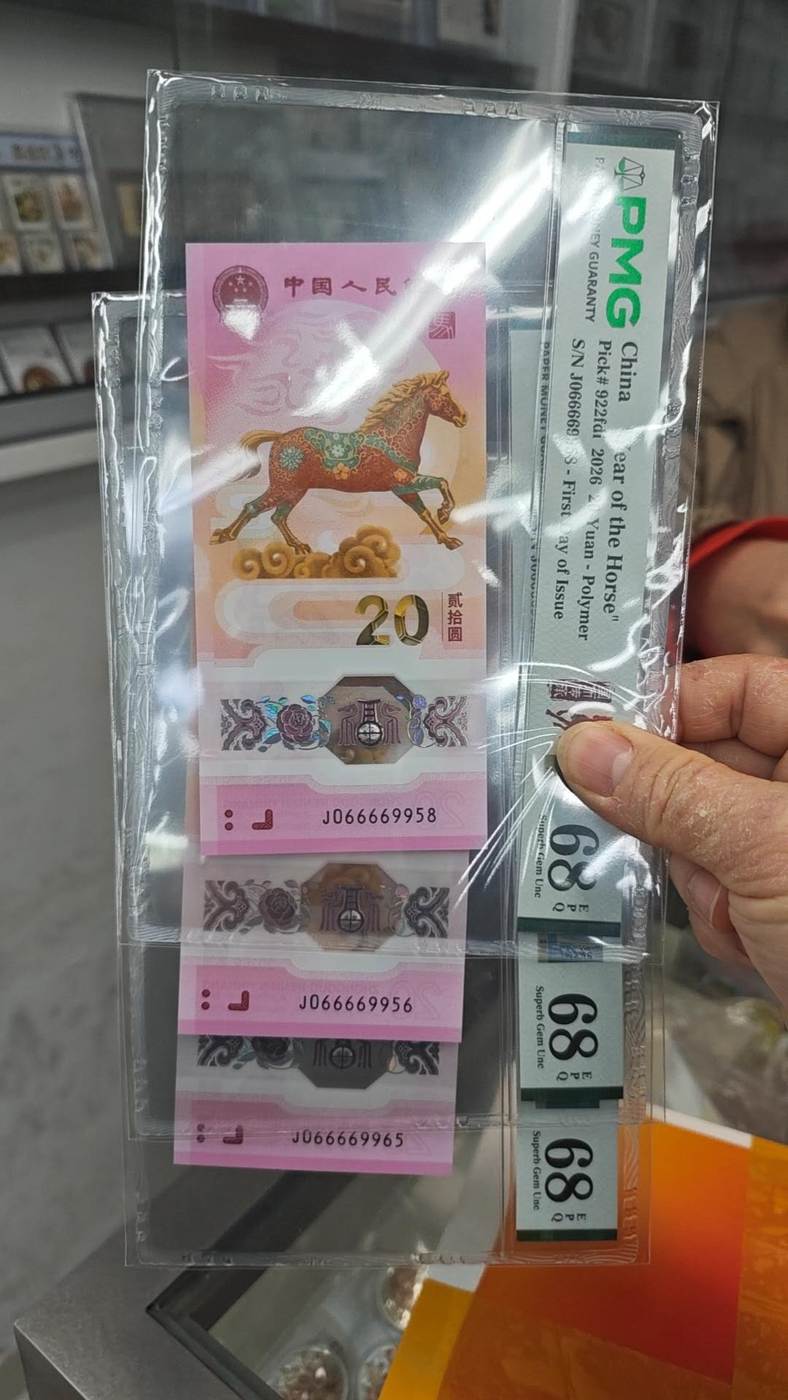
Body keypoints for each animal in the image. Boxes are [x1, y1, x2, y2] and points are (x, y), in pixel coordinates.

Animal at [210, 369, 468, 553]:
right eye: (445, 395)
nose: (463, 417)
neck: (394, 439)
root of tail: (280, 437)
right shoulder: (402, 484)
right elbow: (440, 485)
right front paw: (445, 516)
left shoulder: (405, 487)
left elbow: (426, 509)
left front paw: (448, 537)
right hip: (284, 486)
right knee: (253, 507)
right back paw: (224, 535)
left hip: (295, 490)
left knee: (277, 516)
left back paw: (298, 546)